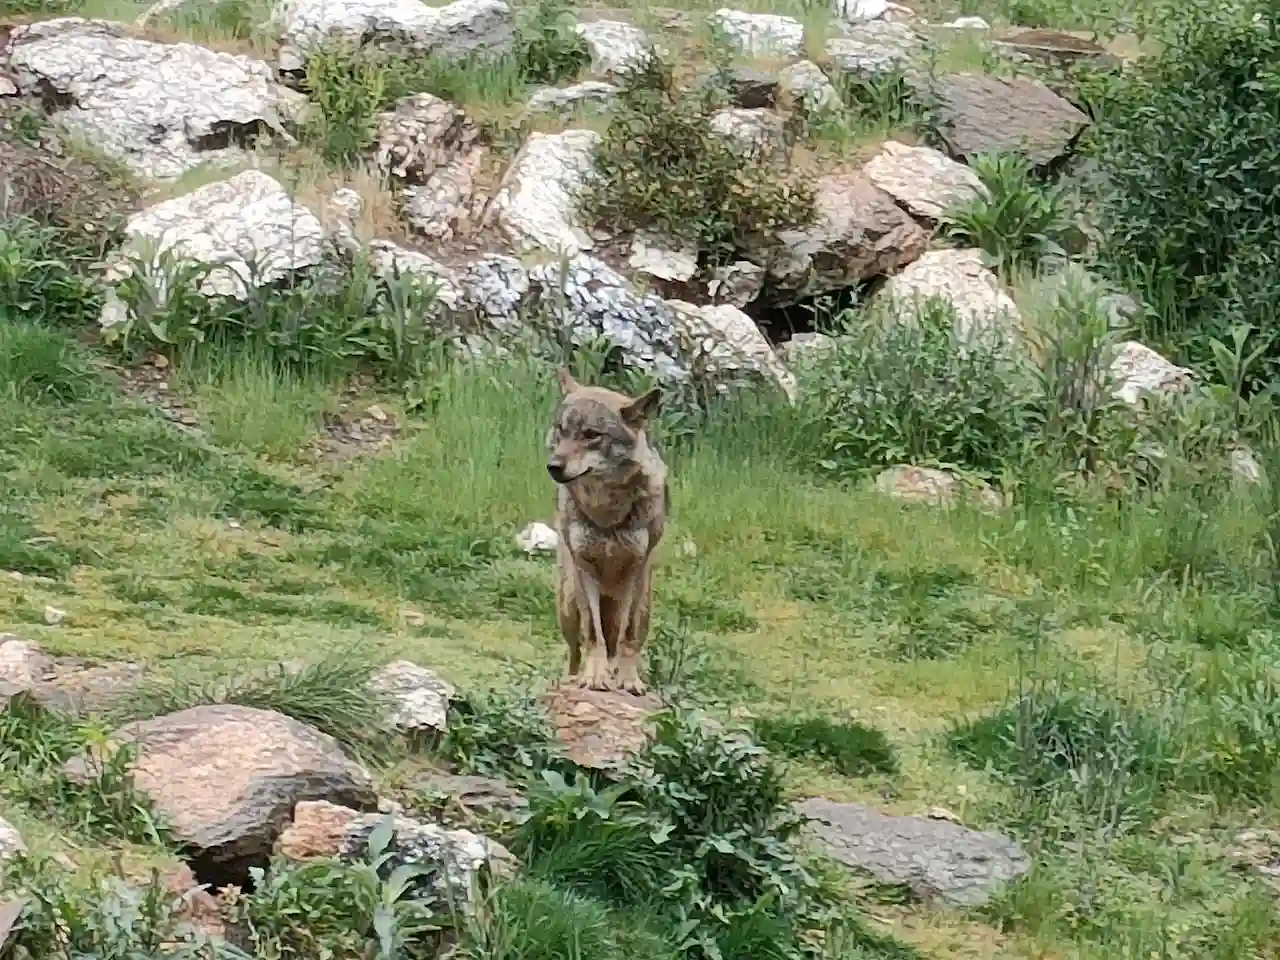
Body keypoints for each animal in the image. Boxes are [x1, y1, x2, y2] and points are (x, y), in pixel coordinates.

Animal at [545, 371, 670, 701]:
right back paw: (573, 677)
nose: (553, 466)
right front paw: (594, 677)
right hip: (567, 604)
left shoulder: (637, 569)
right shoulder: (583, 568)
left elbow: (627, 637)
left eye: (591, 434)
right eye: (561, 431)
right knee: (574, 650)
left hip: (644, 605)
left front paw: (627, 680)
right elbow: (593, 633)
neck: (607, 511)